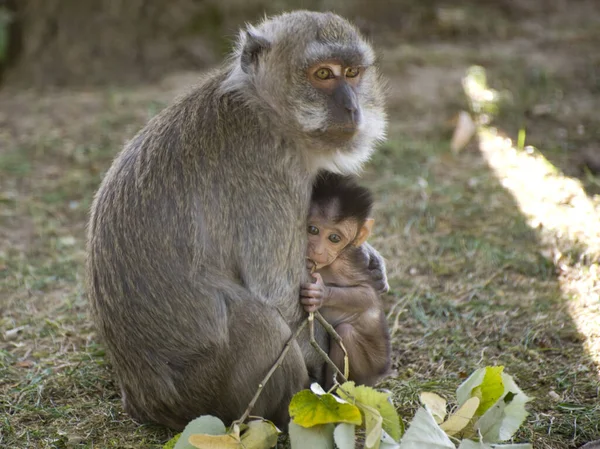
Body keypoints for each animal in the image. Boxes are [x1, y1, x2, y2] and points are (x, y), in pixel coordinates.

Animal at [300, 173, 394, 386]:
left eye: (334, 238)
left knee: (345, 333)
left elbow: (367, 294)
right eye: (313, 230)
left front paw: (321, 294)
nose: (318, 251)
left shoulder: (345, 264)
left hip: (373, 363)